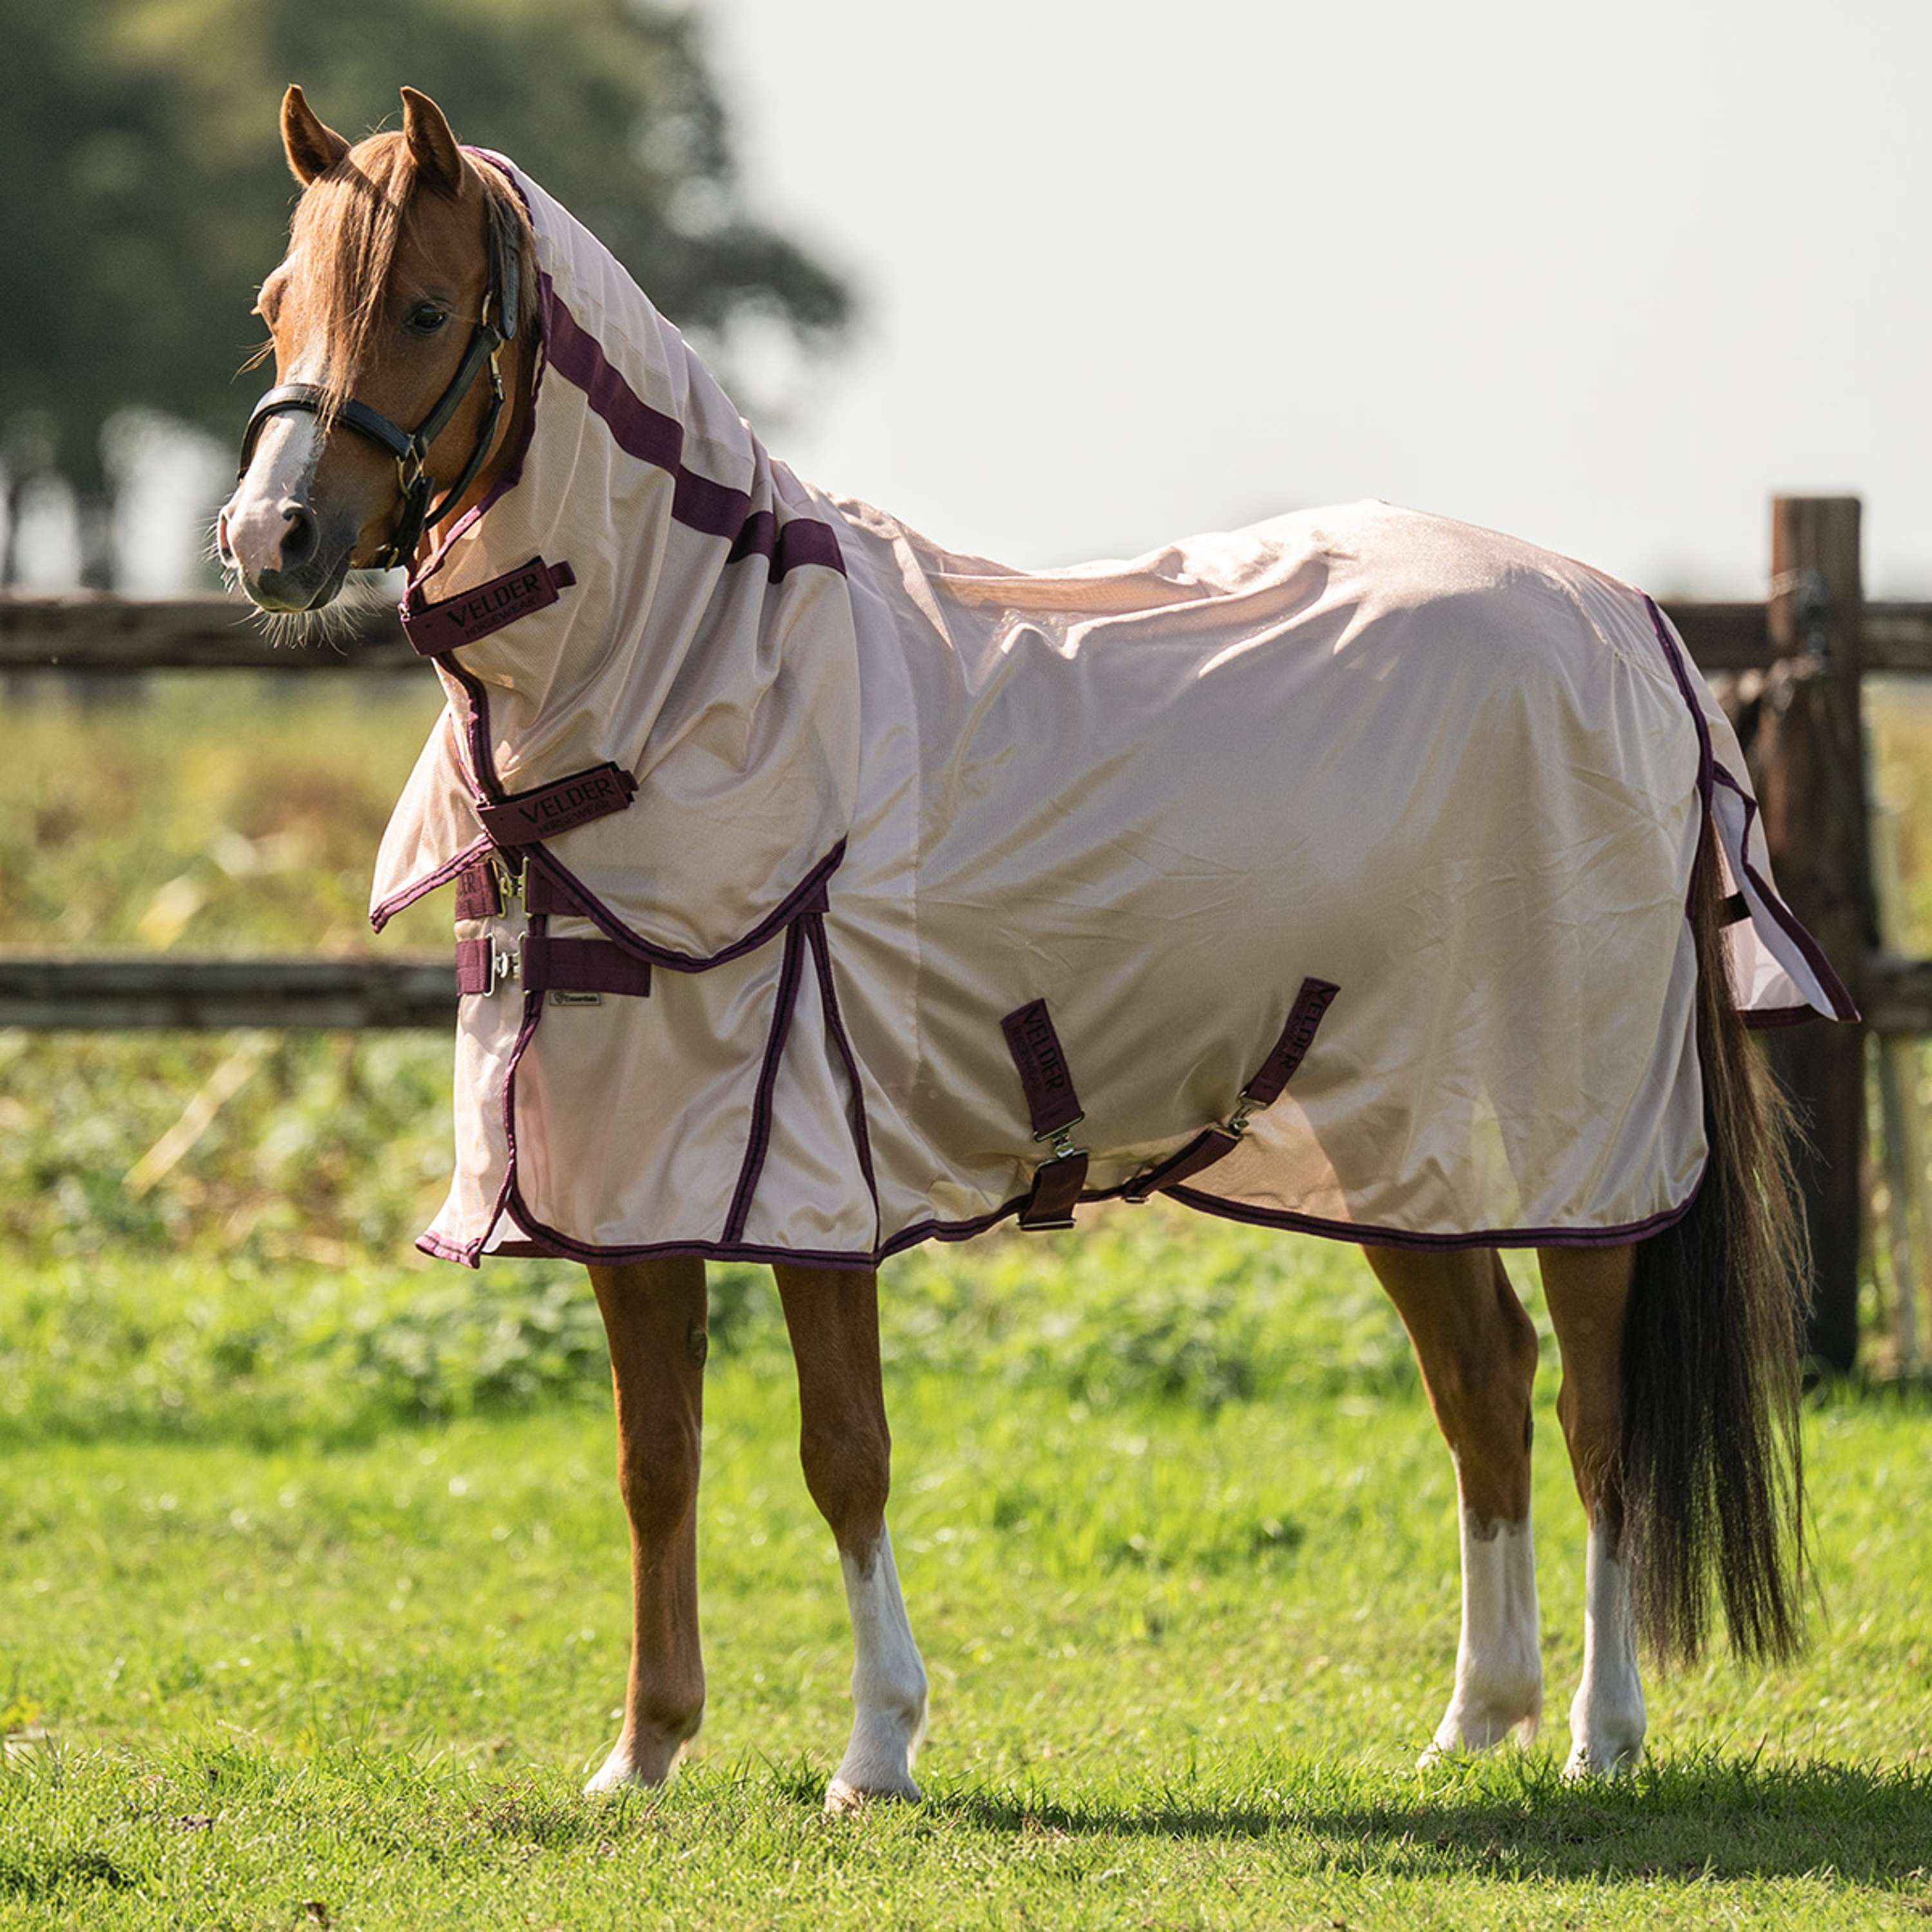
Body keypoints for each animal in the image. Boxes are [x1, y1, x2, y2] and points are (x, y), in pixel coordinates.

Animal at [220, 85, 1846, 1808]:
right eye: (277, 305)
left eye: (423, 308)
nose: (271, 537)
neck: (706, 685)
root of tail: (1635, 629)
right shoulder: (625, 1185)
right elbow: (654, 1459)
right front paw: (643, 1752)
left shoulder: (810, 1178)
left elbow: (842, 1454)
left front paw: (875, 1748)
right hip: (1398, 1132)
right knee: (1485, 1383)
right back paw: (1476, 1716)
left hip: (1575, 1143)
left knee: (1601, 1415)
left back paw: (1601, 1734)